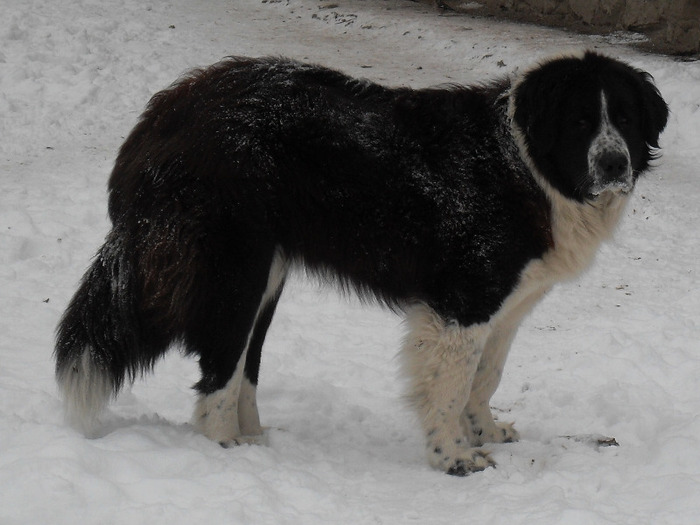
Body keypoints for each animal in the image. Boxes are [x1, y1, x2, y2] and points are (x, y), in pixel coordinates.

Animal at [54, 52, 668, 474]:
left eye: (627, 119)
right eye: (580, 122)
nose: (614, 164)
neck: (523, 161)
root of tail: (168, 109)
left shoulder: (507, 304)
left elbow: (485, 378)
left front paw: (485, 432)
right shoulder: (463, 303)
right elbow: (451, 385)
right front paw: (454, 458)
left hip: (269, 275)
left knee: (245, 364)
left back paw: (254, 440)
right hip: (236, 270)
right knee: (218, 372)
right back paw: (226, 451)